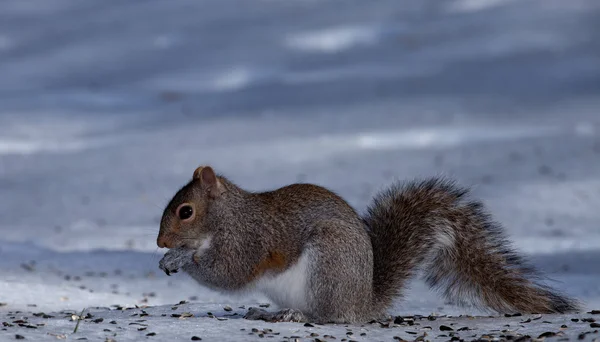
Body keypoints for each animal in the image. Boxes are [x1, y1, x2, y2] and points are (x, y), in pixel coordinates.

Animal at [157, 166, 580, 324]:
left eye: (185, 211)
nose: (159, 241)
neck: (228, 217)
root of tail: (363, 302)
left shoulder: (249, 240)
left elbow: (229, 273)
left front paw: (181, 258)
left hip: (327, 267)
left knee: (330, 317)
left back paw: (296, 316)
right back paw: (266, 312)